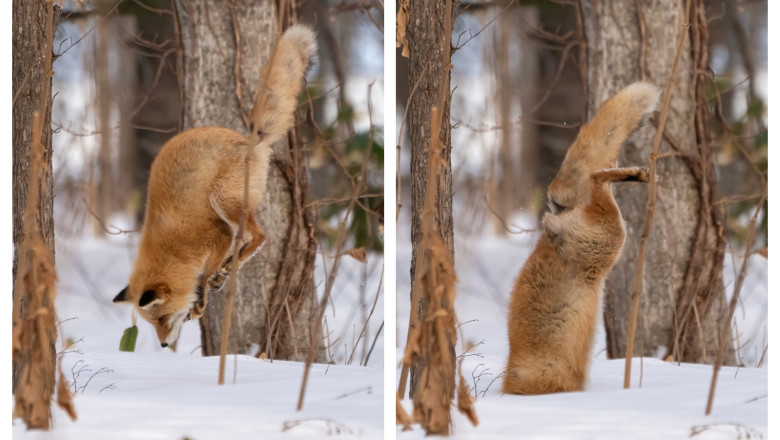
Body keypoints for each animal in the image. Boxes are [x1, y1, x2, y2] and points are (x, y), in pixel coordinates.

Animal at [112, 24, 316, 348]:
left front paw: (202, 297)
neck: (173, 250)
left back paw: (229, 267)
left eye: (161, 318)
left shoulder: (217, 237)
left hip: (221, 199)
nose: (163, 345)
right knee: (248, 239)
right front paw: (203, 295)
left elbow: (205, 275)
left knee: (259, 236)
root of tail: (248, 139)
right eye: (152, 324)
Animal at [506, 82, 660, 396]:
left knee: (596, 177)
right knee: (598, 175)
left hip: (611, 234)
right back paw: (633, 173)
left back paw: (632, 174)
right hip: (611, 240)